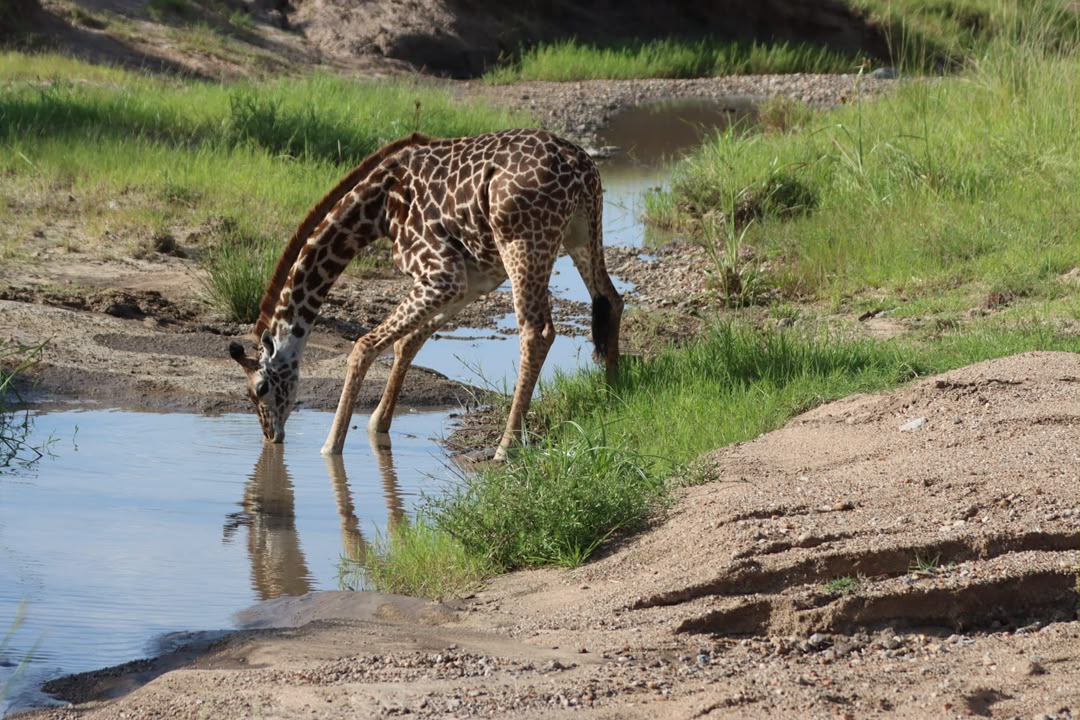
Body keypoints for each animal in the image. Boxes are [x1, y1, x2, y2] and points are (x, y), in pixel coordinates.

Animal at [229, 128, 623, 461]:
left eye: (260, 388)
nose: (271, 436)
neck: (378, 208)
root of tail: (578, 164)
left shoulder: (442, 273)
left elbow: (364, 346)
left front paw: (331, 446)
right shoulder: (473, 277)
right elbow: (408, 342)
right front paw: (378, 424)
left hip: (524, 243)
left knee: (537, 331)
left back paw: (506, 446)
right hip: (581, 233)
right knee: (611, 300)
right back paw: (614, 398)